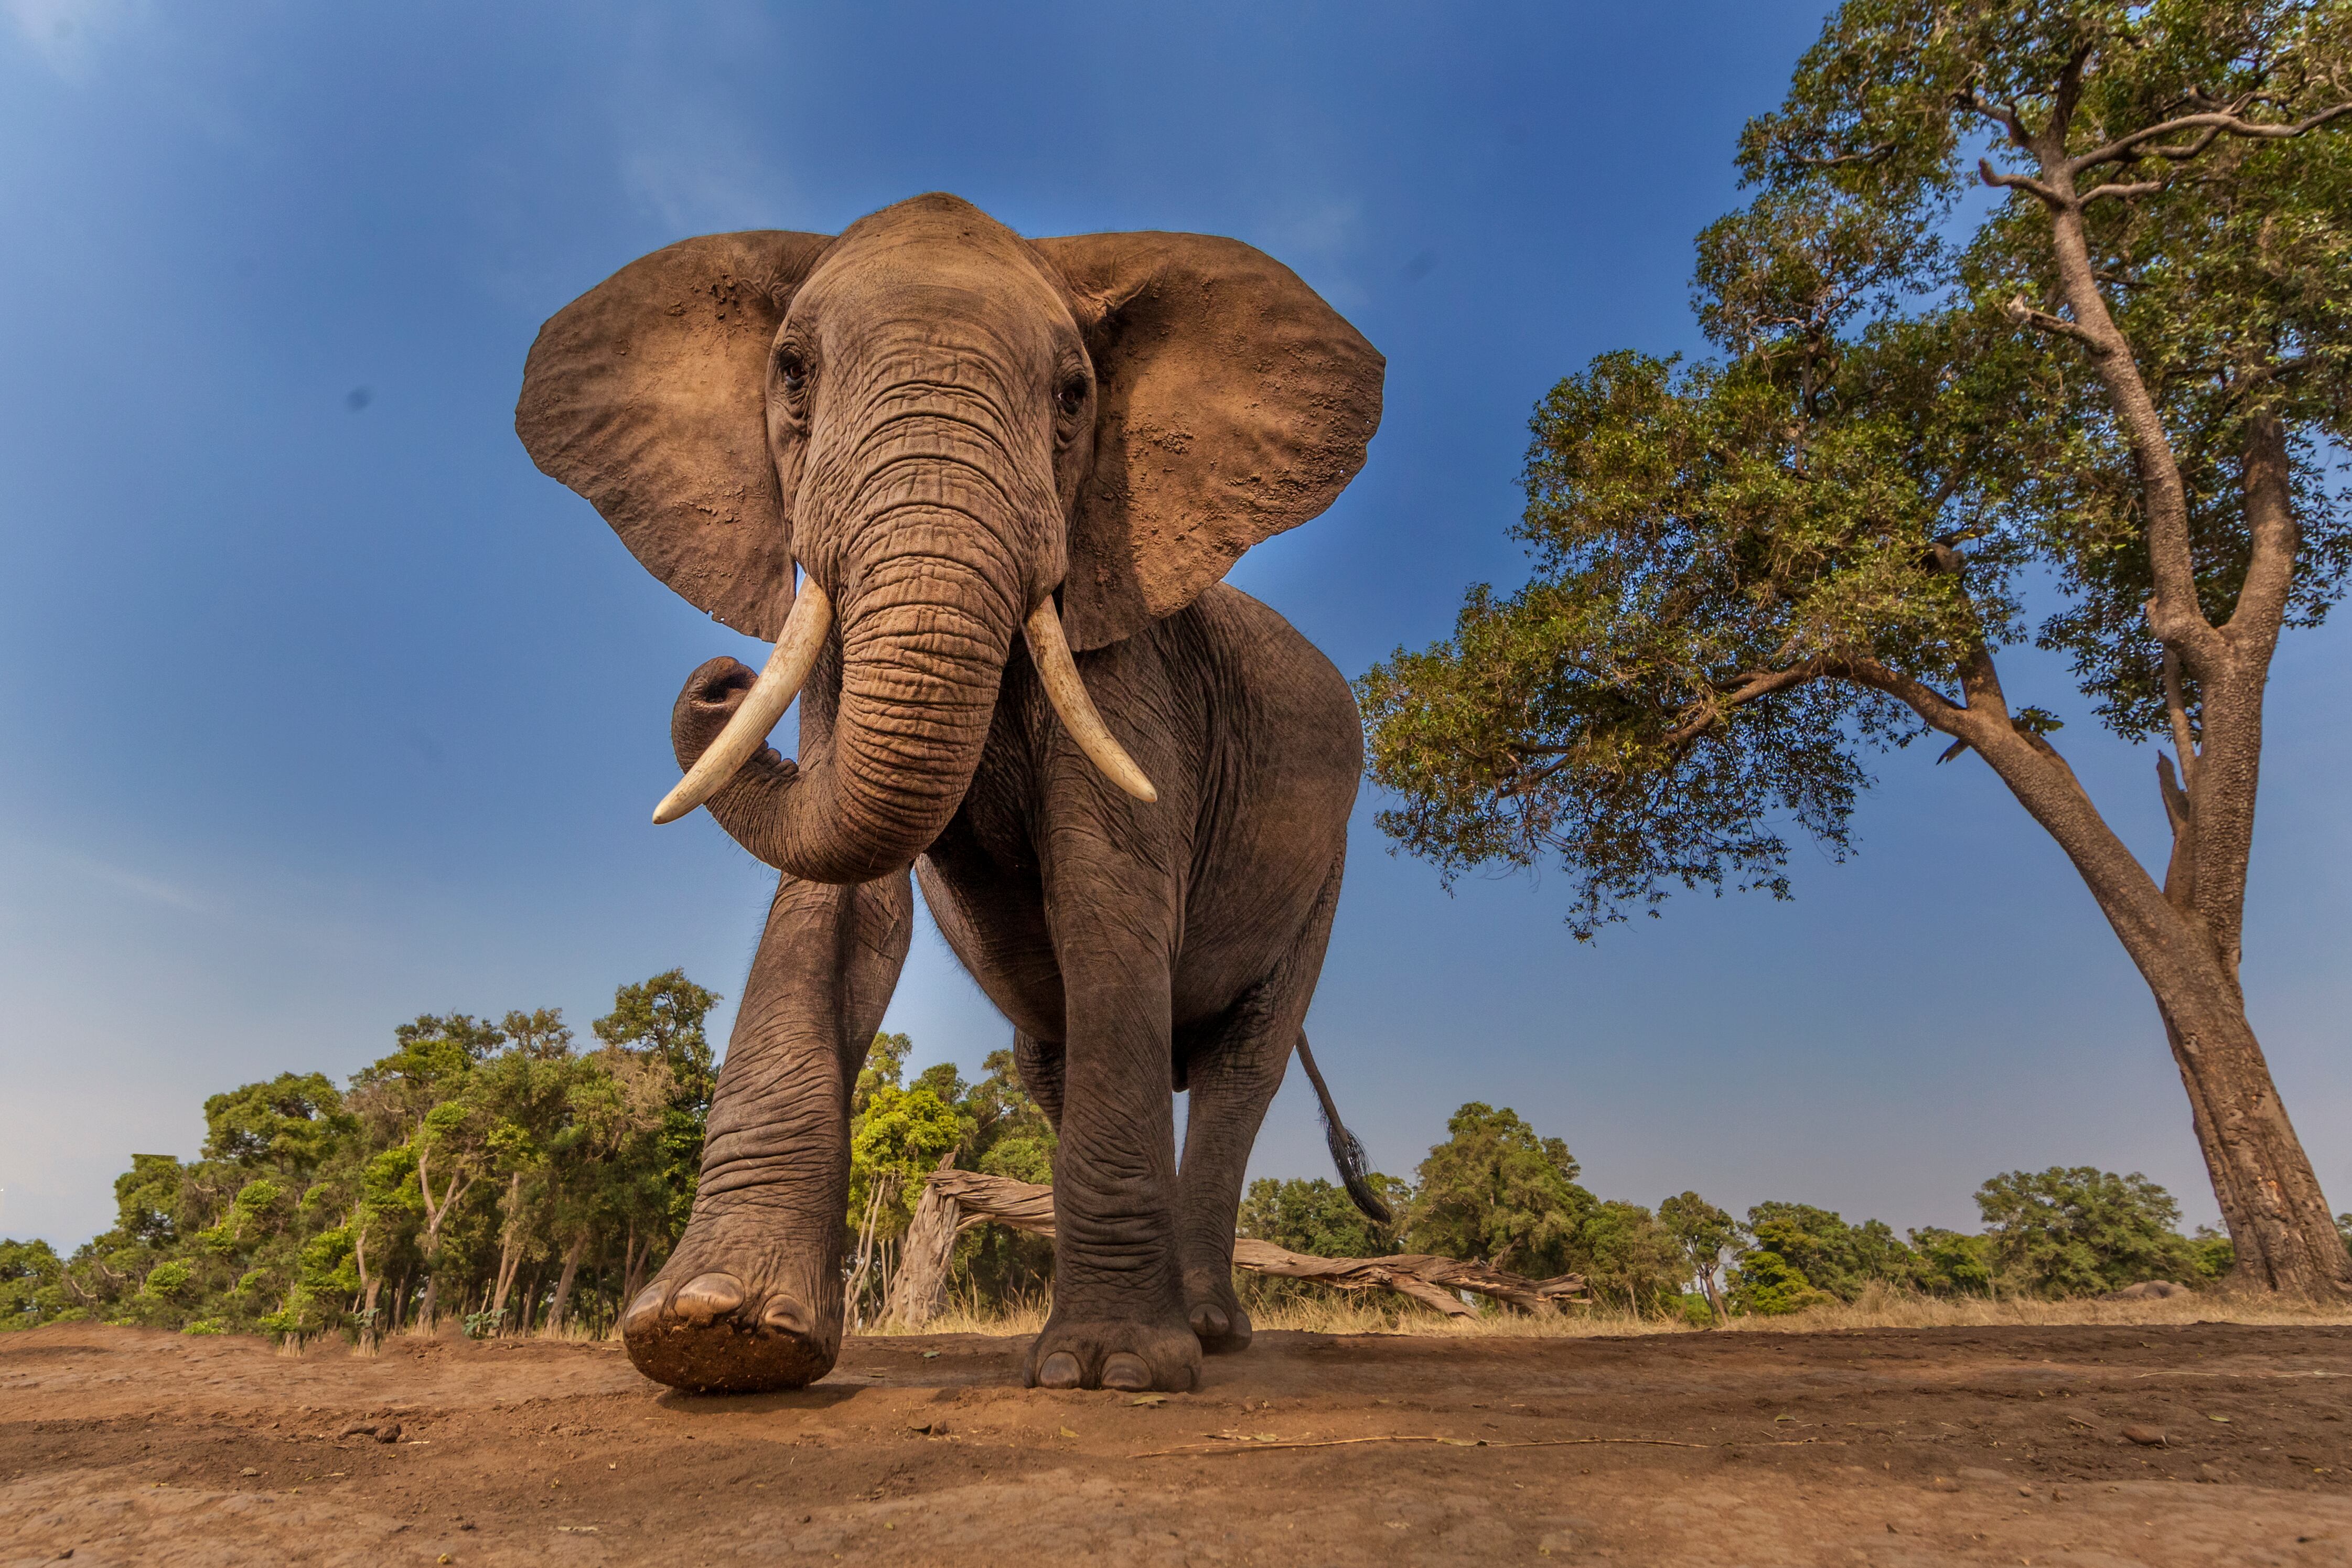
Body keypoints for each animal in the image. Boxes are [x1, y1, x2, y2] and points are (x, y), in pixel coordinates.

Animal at [515, 192, 1387, 1395]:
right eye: (792, 372)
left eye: (1073, 397)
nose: (718, 679)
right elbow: (836, 904)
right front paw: (715, 1334)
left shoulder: (1131, 661)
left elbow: (1107, 898)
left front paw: (1114, 1371)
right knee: (1054, 1058)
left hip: (1329, 867)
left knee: (1242, 1064)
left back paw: (1205, 1332)